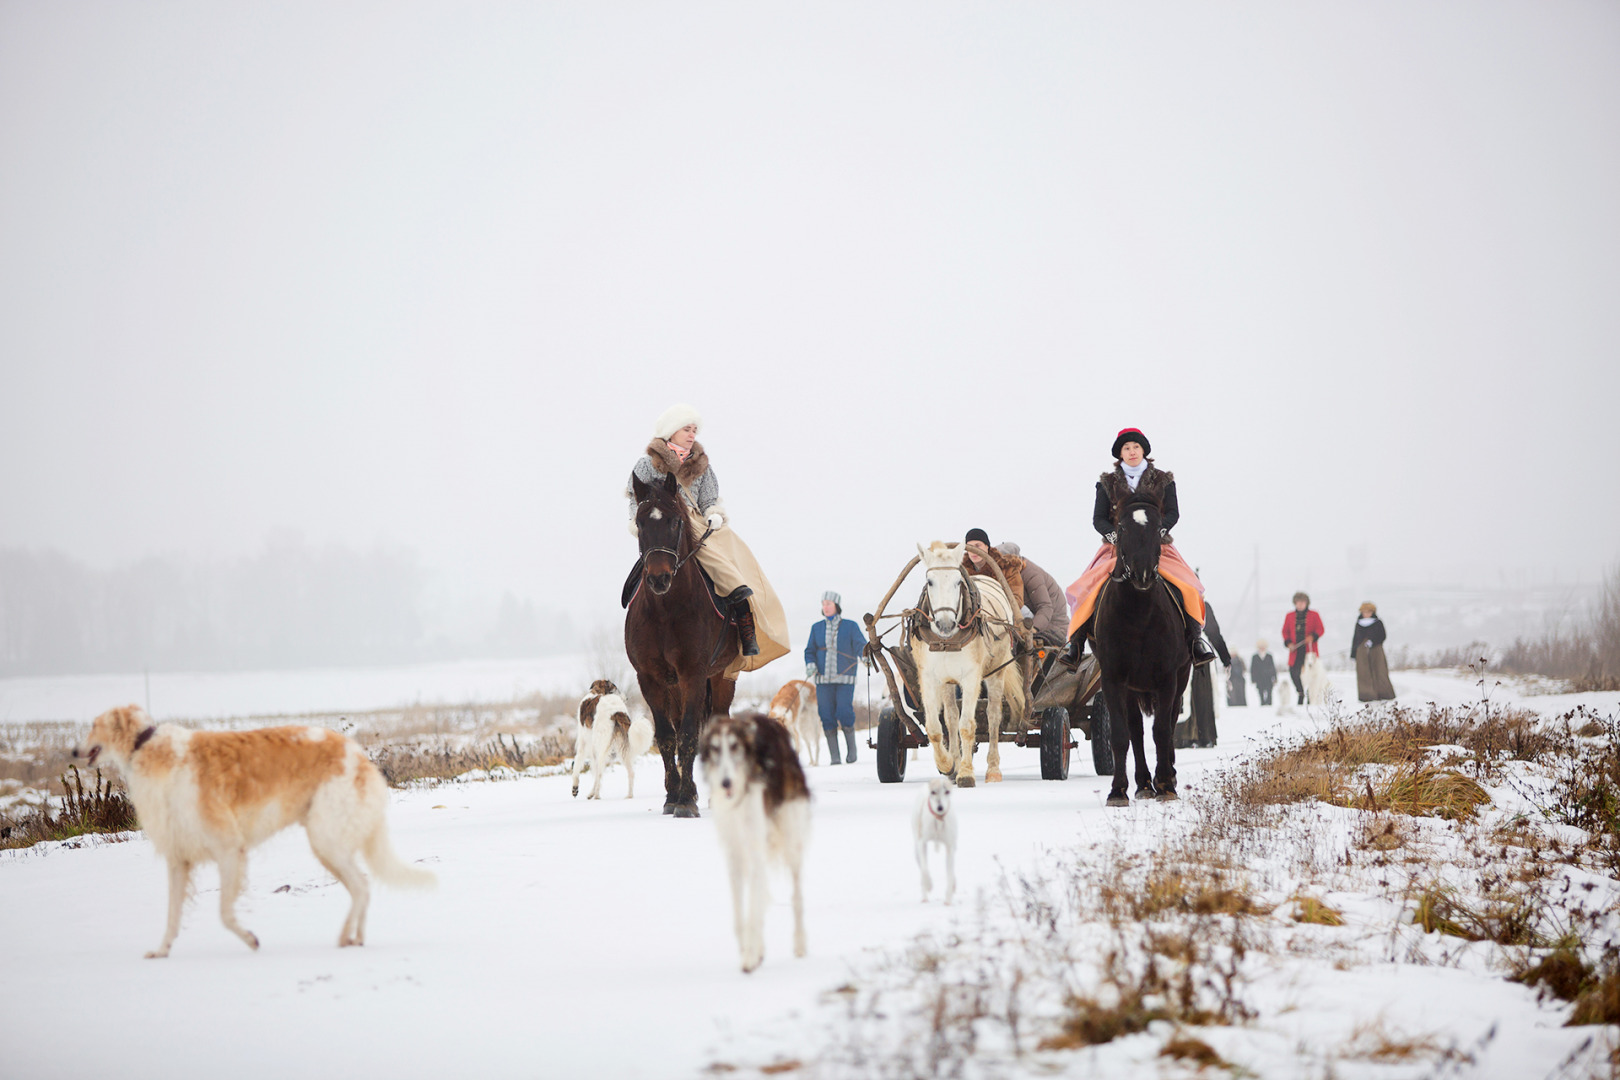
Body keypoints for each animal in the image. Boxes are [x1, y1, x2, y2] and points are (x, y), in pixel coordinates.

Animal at [76, 705, 437, 958]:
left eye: (93, 725)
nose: (73, 753)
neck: (149, 749)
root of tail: (359, 756)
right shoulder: (179, 859)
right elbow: (172, 917)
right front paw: (162, 951)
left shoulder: (228, 849)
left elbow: (224, 914)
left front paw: (251, 940)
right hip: (329, 843)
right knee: (363, 886)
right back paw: (355, 937)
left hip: (325, 841)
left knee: (361, 887)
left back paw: (344, 938)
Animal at [625, 472, 741, 819]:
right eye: (640, 522)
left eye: (676, 521)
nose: (659, 579)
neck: (666, 610)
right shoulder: (650, 678)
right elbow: (666, 736)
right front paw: (672, 794)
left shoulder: (694, 673)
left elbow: (690, 733)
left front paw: (687, 799)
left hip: (721, 678)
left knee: (717, 722)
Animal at [703, 712, 816, 977]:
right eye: (715, 749)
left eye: (735, 746)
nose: (725, 783)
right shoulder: (734, 854)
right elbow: (740, 916)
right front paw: (750, 951)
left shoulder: (755, 847)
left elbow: (754, 911)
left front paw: (750, 957)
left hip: (791, 837)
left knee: (796, 895)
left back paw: (799, 943)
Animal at [907, 544, 1017, 790]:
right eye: (930, 581)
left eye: (958, 582)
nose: (945, 624)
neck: (946, 640)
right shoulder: (929, 678)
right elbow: (935, 727)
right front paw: (948, 765)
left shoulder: (971, 677)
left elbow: (967, 726)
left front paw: (966, 773)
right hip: (948, 682)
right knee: (950, 717)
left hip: (996, 672)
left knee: (993, 716)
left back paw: (993, 769)